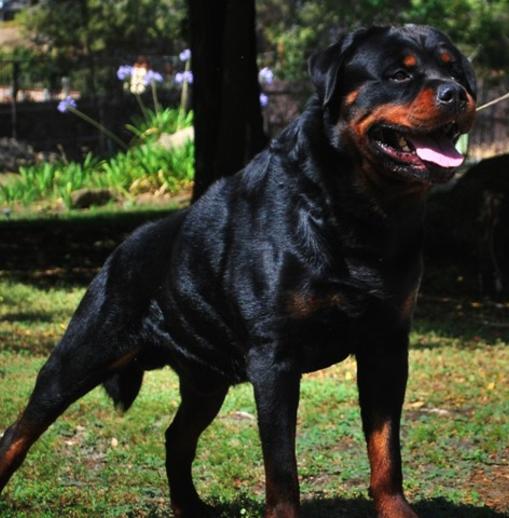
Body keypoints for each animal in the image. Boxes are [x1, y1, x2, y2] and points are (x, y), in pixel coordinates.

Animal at [0, 25, 476, 518]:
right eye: (400, 74)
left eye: (455, 70)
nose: (455, 93)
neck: (358, 212)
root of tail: (125, 247)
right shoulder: (274, 357)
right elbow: (282, 467)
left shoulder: (386, 346)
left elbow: (385, 450)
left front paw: (396, 509)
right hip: (83, 350)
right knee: (20, 430)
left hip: (206, 381)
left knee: (176, 438)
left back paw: (190, 507)